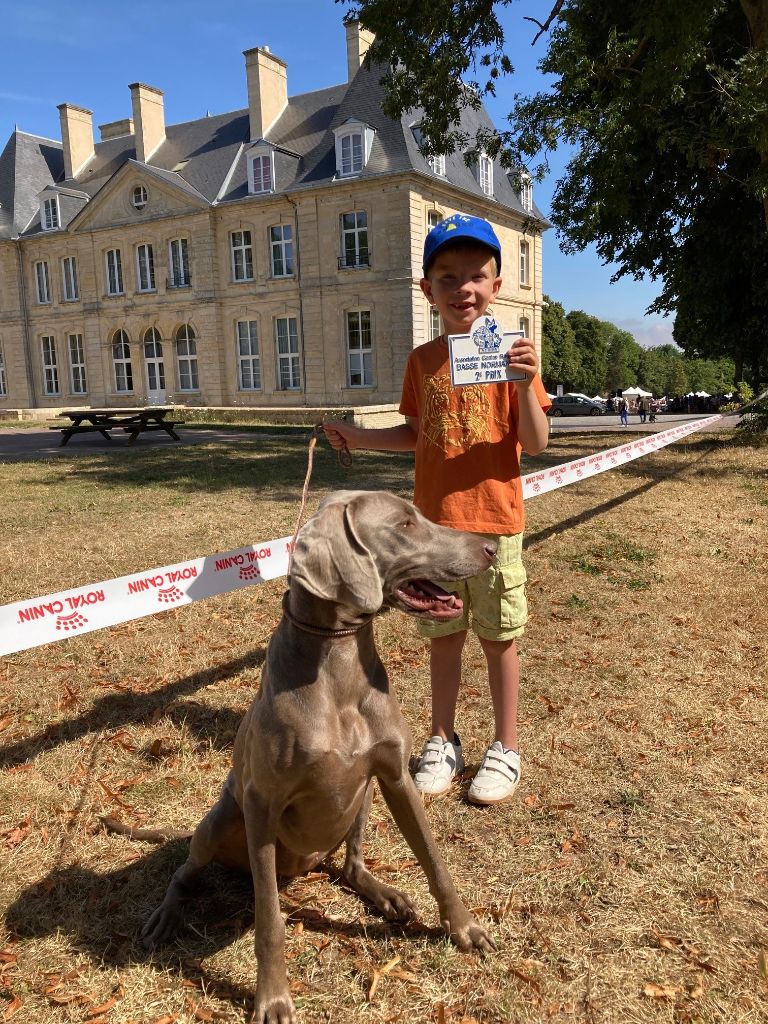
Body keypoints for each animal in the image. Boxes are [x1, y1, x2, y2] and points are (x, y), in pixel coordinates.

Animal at [106, 490, 497, 1023]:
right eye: (404, 524)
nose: (492, 546)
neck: (337, 661)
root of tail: (303, 867)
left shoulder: (395, 776)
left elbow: (435, 860)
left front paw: (464, 928)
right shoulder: (261, 802)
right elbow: (270, 922)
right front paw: (272, 998)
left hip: (362, 797)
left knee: (350, 866)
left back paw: (387, 895)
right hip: (221, 821)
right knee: (185, 873)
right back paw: (164, 917)